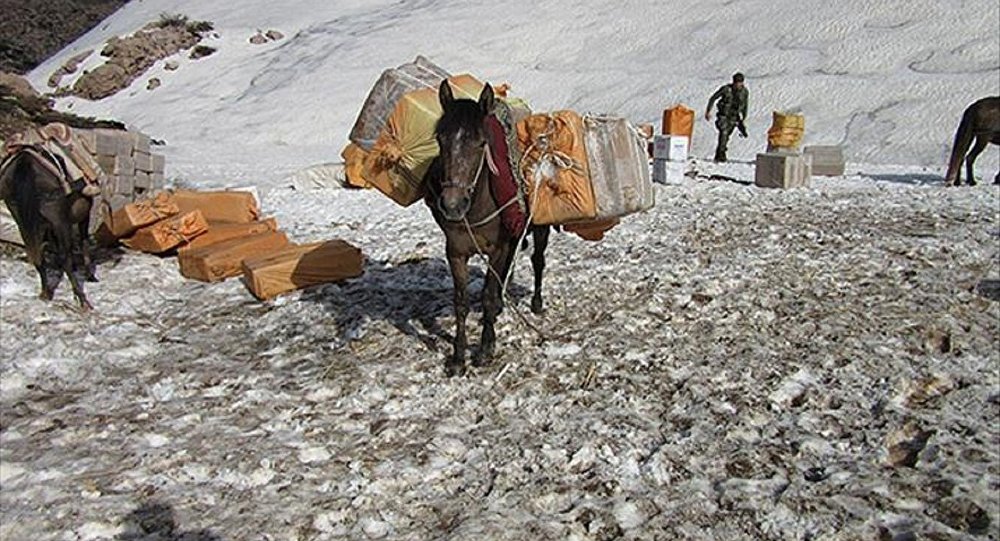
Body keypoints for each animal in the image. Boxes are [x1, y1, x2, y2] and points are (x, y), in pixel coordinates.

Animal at [422, 81, 548, 376]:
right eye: (440, 140)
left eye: (481, 143)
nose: (452, 205)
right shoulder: (456, 252)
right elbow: (461, 303)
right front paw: (458, 358)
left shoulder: (498, 249)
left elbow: (488, 295)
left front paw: (485, 350)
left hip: (538, 230)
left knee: (538, 261)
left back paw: (536, 303)